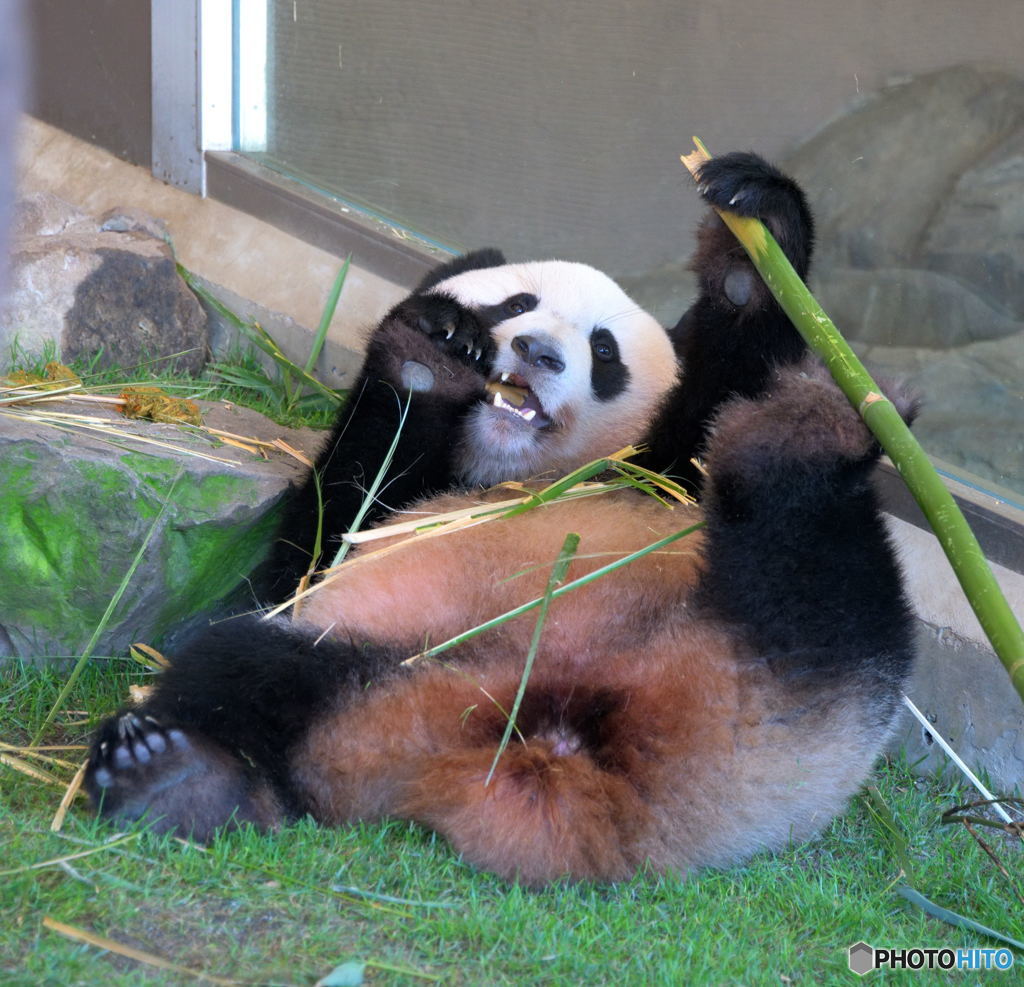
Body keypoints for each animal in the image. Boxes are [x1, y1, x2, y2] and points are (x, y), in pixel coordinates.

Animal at [83, 154, 917, 888]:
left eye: (604, 352)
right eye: (517, 306)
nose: (540, 353)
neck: (505, 471)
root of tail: (576, 775)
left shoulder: (662, 473)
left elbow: (723, 388)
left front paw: (754, 232)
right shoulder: (369, 524)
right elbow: (322, 535)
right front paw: (431, 355)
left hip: (794, 711)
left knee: (808, 557)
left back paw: (818, 427)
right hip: (383, 680)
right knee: (247, 671)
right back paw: (177, 778)